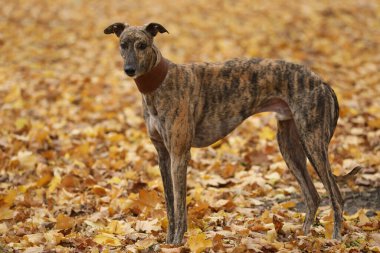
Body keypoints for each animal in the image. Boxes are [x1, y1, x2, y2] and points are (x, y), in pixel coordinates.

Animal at [104, 22, 360, 245]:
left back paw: (336, 239)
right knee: (313, 196)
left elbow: (180, 204)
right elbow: (169, 204)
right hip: (290, 145)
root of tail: (323, 82)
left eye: (142, 45)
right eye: (123, 44)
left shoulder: (179, 154)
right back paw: (304, 238)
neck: (160, 82)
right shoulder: (163, 155)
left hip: (313, 142)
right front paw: (167, 242)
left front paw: (176, 243)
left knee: (336, 195)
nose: (129, 70)